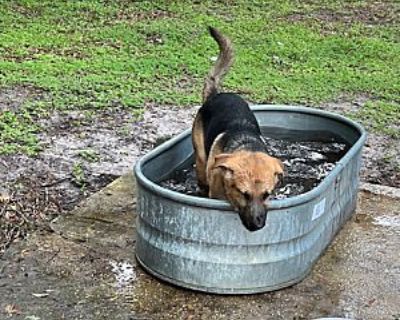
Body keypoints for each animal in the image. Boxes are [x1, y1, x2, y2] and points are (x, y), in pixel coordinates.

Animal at [191, 26, 282, 232]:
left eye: (267, 194)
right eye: (244, 194)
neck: (246, 145)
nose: (257, 225)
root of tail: (217, 94)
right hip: (200, 157)